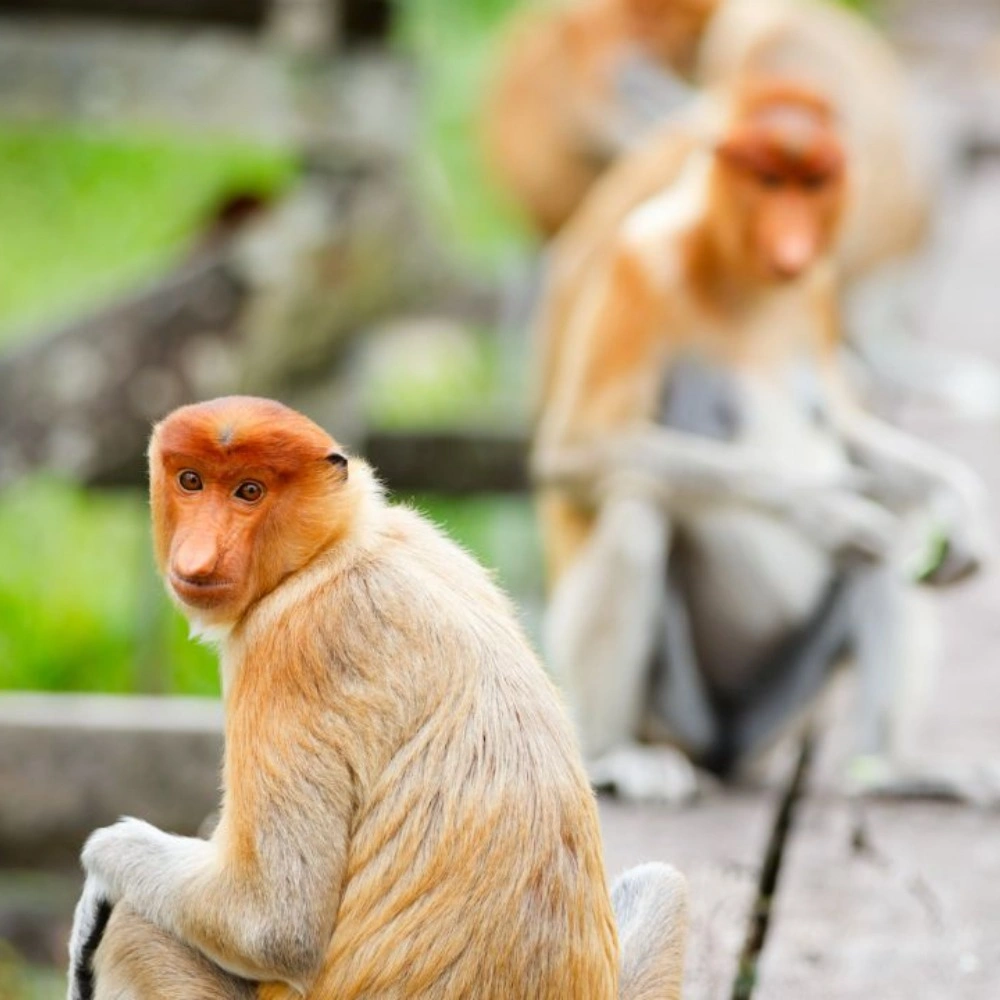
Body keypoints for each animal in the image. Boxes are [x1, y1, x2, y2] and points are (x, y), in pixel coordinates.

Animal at [62, 396, 688, 1000]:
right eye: (190, 480)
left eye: (249, 491)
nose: (197, 558)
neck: (335, 546)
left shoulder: (288, 646)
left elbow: (273, 923)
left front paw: (97, 880)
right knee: (663, 883)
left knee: (135, 928)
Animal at [532, 82, 992, 808]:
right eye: (770, 180)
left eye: (814, 182)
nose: (794, 245)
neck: (739, 276)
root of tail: (724, 747)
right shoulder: (637, 270)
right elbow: (578, 450)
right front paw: (823, 510)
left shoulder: (820, 294)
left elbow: (846, 427)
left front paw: (959, 505)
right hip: (676, 713)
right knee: (637, 511)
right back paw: (620, 757)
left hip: (778, 714)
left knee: (893, 537)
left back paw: (893, 768)